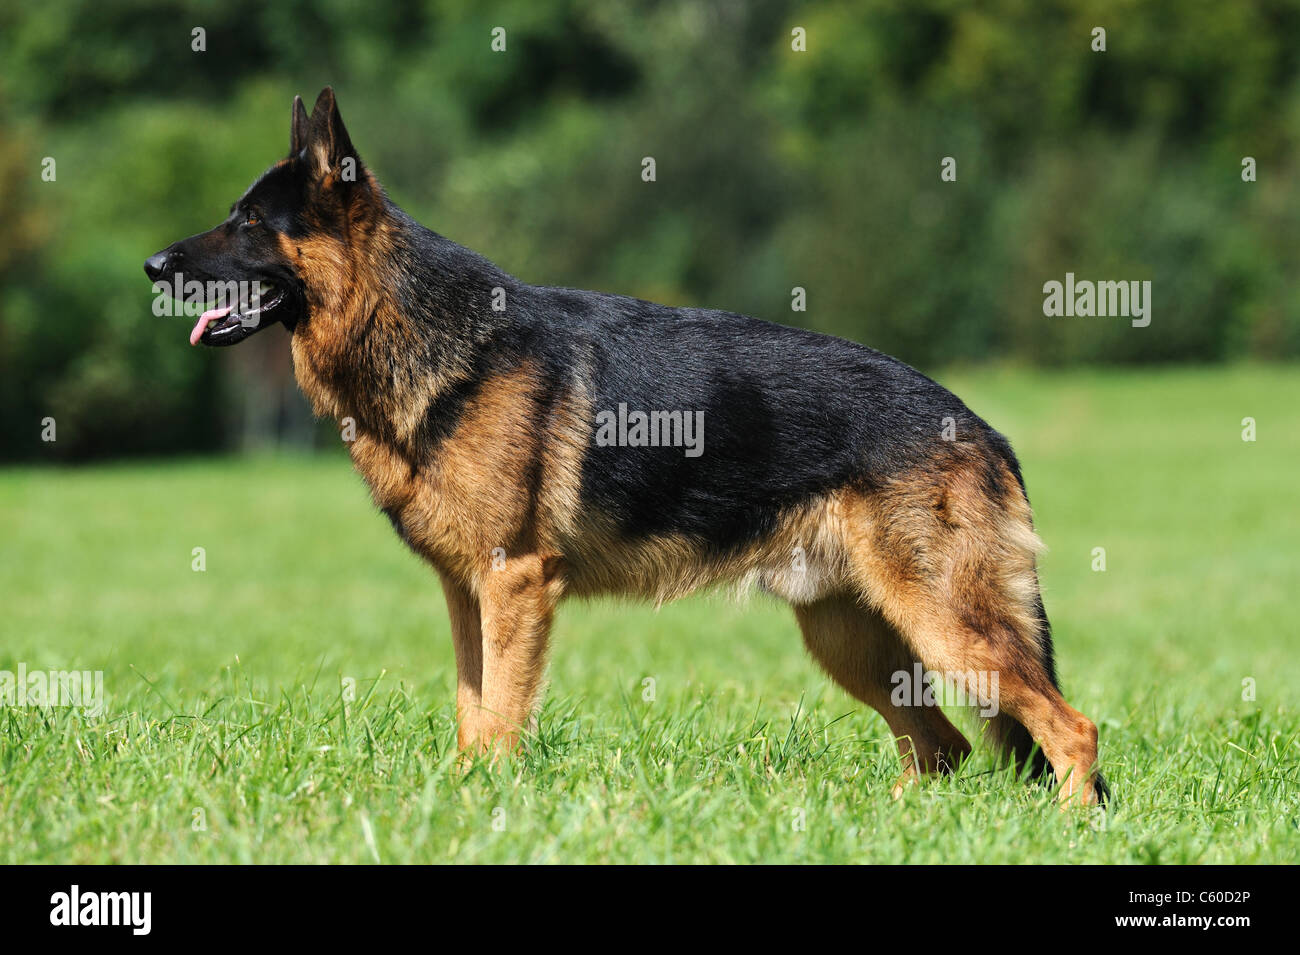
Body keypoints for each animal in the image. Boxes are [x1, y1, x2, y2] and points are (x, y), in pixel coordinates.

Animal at [144, 91, 1107, 805]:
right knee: (942, 748)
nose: (153, 266)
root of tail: (981, 427)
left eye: (249, 224)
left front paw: (493, 806)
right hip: (857, 638)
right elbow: (472, 707)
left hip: (946, 627)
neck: (413, 327)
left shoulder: (515, 584)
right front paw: (463, 800)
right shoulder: (467, 593)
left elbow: (502, 714)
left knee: (1070, 728)